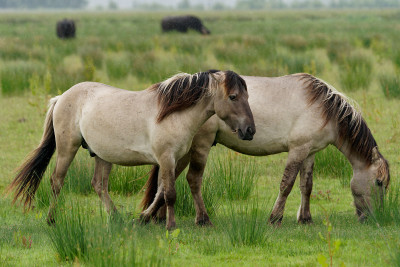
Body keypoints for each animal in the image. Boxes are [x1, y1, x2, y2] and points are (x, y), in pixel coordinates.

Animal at [7, 70, 255, 229]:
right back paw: (51, 220)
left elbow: (161, 192)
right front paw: (170, 225)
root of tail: (61, 97)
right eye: (233, 96)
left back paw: (116, 218)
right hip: (67, 148)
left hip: (102, 155)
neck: (174, 114)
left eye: (247, 96)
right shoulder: (166, 159)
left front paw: (144, 218)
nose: (249, 130)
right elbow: (170, 194)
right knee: (57, 181)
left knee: (99, 184)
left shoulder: (172, 160)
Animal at [141, 73, 390, 226]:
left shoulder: (309, 152)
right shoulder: (298, 150)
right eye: (379, 183)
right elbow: (287, 184)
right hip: (199, 146)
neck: (323, 107)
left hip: (183, 151)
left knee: (165, 182)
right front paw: (275, 218)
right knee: (190, 179)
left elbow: (306, 186)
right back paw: (197, 219)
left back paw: (155, 217)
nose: (376, 217)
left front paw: (305, 218)